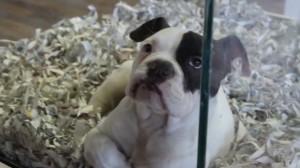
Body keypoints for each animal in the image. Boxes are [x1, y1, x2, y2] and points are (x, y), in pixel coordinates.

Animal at [83, 17, 250, 168]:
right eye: (147, 48)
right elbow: (102, 150)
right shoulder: (98, 135)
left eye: (197, 63)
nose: (159, 65)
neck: (154, 118)